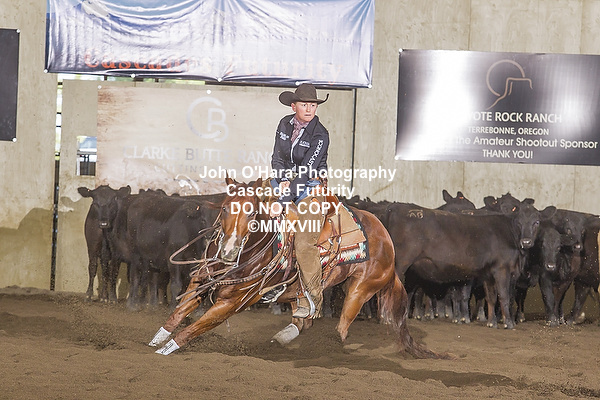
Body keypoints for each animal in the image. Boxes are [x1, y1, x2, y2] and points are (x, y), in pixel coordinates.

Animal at [149, 177, 447, 359]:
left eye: (252, 214)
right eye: (223, 209)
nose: (229, 250)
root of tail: (386, 238)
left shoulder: (231, 303)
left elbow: (193, 328)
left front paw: (165, 351)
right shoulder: (201, 280)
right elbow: (177, 314)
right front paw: (154, 340)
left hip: (359, 290)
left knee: (340, 329)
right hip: (300, 292)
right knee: (303, 320)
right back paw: (280, 339)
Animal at [388, 199, 556, 329]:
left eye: (536, 222)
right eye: (518, 222)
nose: (526, 242)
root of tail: (397, 208)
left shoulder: (489, 273)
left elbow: (491, 297)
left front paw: (491, 322)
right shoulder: (502, 269)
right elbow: (504, 296)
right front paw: (508, 323)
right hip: (401, 263)